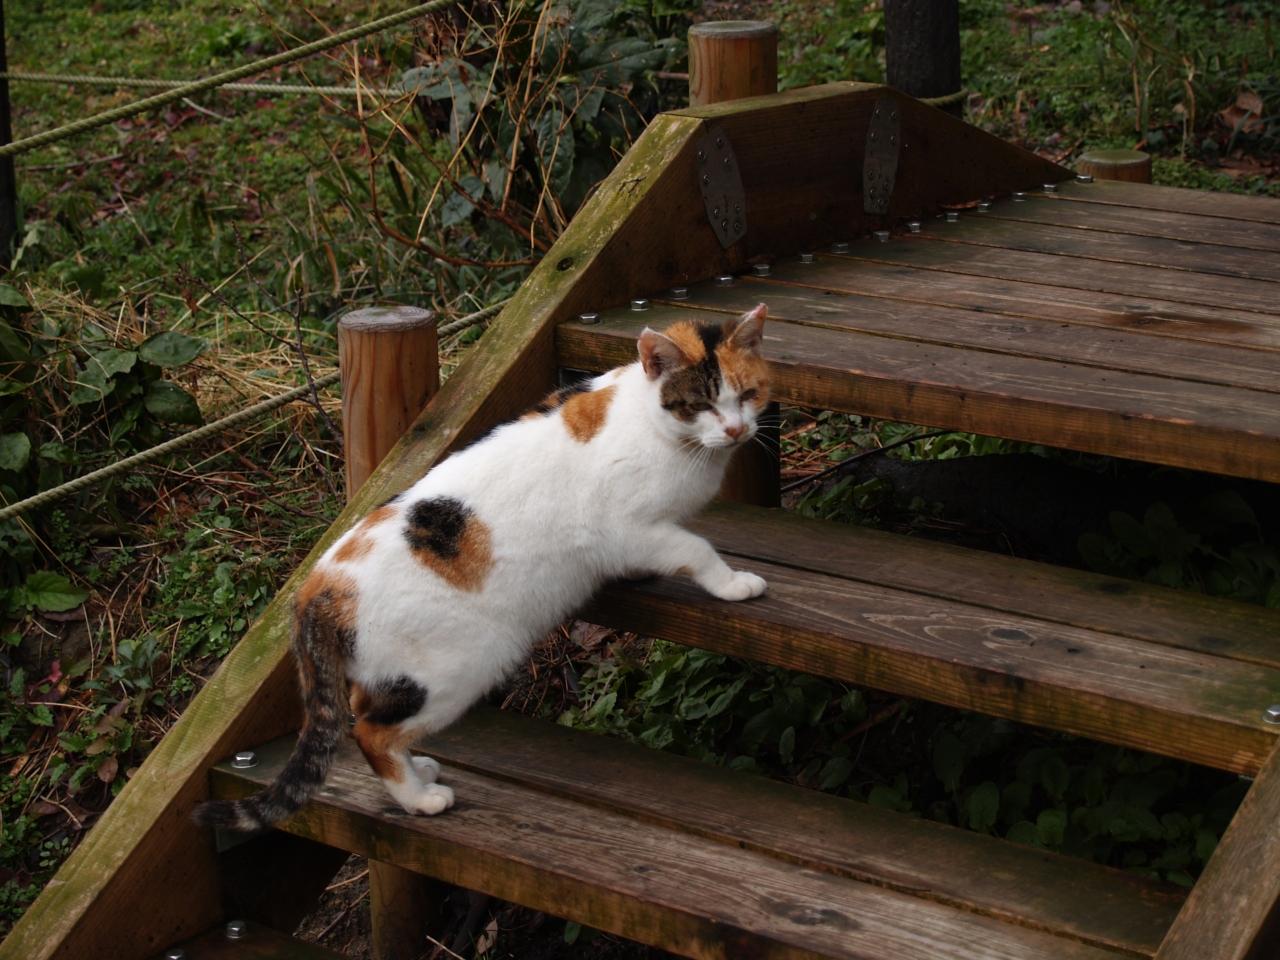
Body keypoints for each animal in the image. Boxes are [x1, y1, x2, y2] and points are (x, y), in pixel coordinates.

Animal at [194, 303, 771, 830]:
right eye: (699, 403)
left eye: (747, 395)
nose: (737, 430)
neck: (660, 427)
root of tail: (316, 587)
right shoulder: (629, 528)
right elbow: (696, 549)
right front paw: (734, 583)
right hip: (459, 665)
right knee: (369, 732)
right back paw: (421, 799)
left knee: (367, 711)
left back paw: (421, 773)